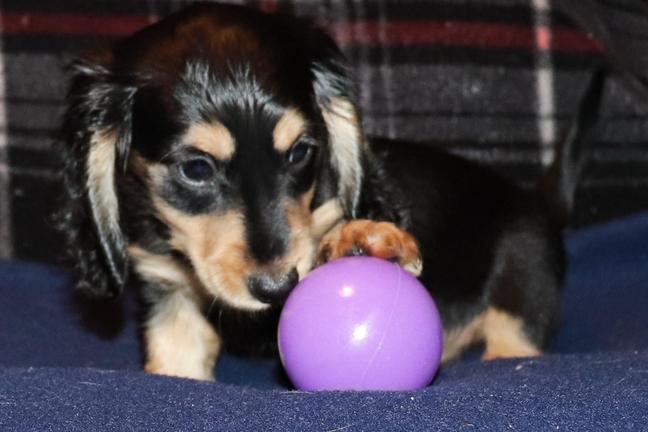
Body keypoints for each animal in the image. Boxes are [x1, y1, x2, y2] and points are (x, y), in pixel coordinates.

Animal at [59, 3, 605, 380]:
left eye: (301, 152)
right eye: (195, 169)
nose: (277, 288)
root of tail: (537, 204)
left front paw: (361, 240)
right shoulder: (169, 296)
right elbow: (176, 364)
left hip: (522, 296)